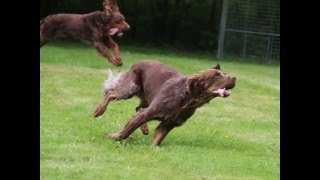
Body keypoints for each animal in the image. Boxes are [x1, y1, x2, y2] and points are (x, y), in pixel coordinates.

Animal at [94, 60, 236, 146]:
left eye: (224, 73)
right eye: (216, 75)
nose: (235, 77)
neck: (186, 99)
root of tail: (137, 62)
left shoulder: (168, 124)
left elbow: (157, 139)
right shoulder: (151, 112)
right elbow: (127, 130)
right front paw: (113, 136)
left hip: (147, 99)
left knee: (137, 108)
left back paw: (144, 129)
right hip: (130, 89)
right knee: (111, 93)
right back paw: (98, 111)